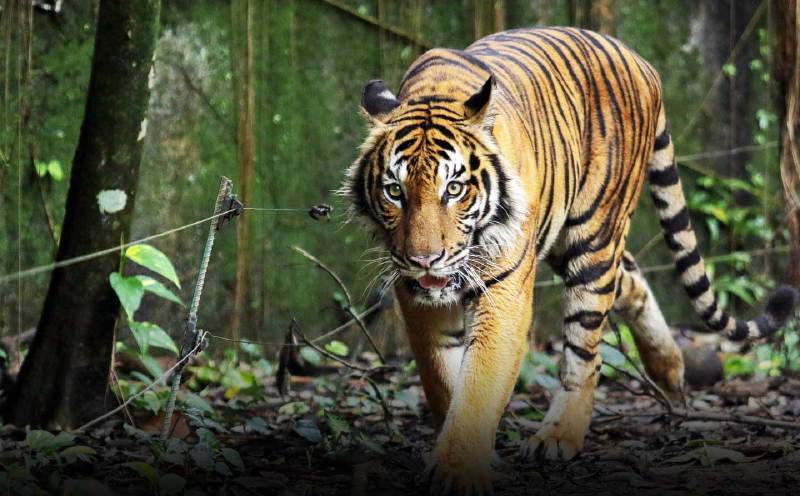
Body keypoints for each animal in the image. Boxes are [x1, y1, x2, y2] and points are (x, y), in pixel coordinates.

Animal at [343, 27, 798, 494]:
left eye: (453, 189)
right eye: (394, 191)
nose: (424, 259)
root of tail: (638, 59)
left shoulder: (505, 291)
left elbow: (479, 385)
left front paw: (456, 471)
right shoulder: (415, 296)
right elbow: (442, 381)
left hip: (593, 238)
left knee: (587, 351)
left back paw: (559, 435)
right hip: (566, 240)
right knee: (631, 280)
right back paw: (670, 368)